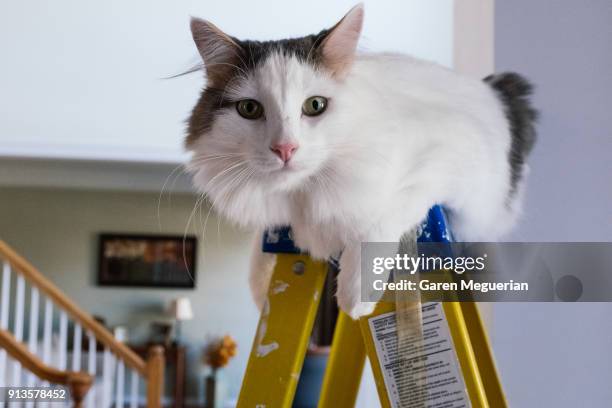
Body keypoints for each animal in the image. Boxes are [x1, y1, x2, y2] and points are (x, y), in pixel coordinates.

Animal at [185, 3, 536, 318]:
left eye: (315, 105)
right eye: (249, 109)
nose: (285, 149)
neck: (304, 195)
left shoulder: (447, 156)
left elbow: (380, 218)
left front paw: (354, 296)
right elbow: (261, 247)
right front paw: (262, 294)